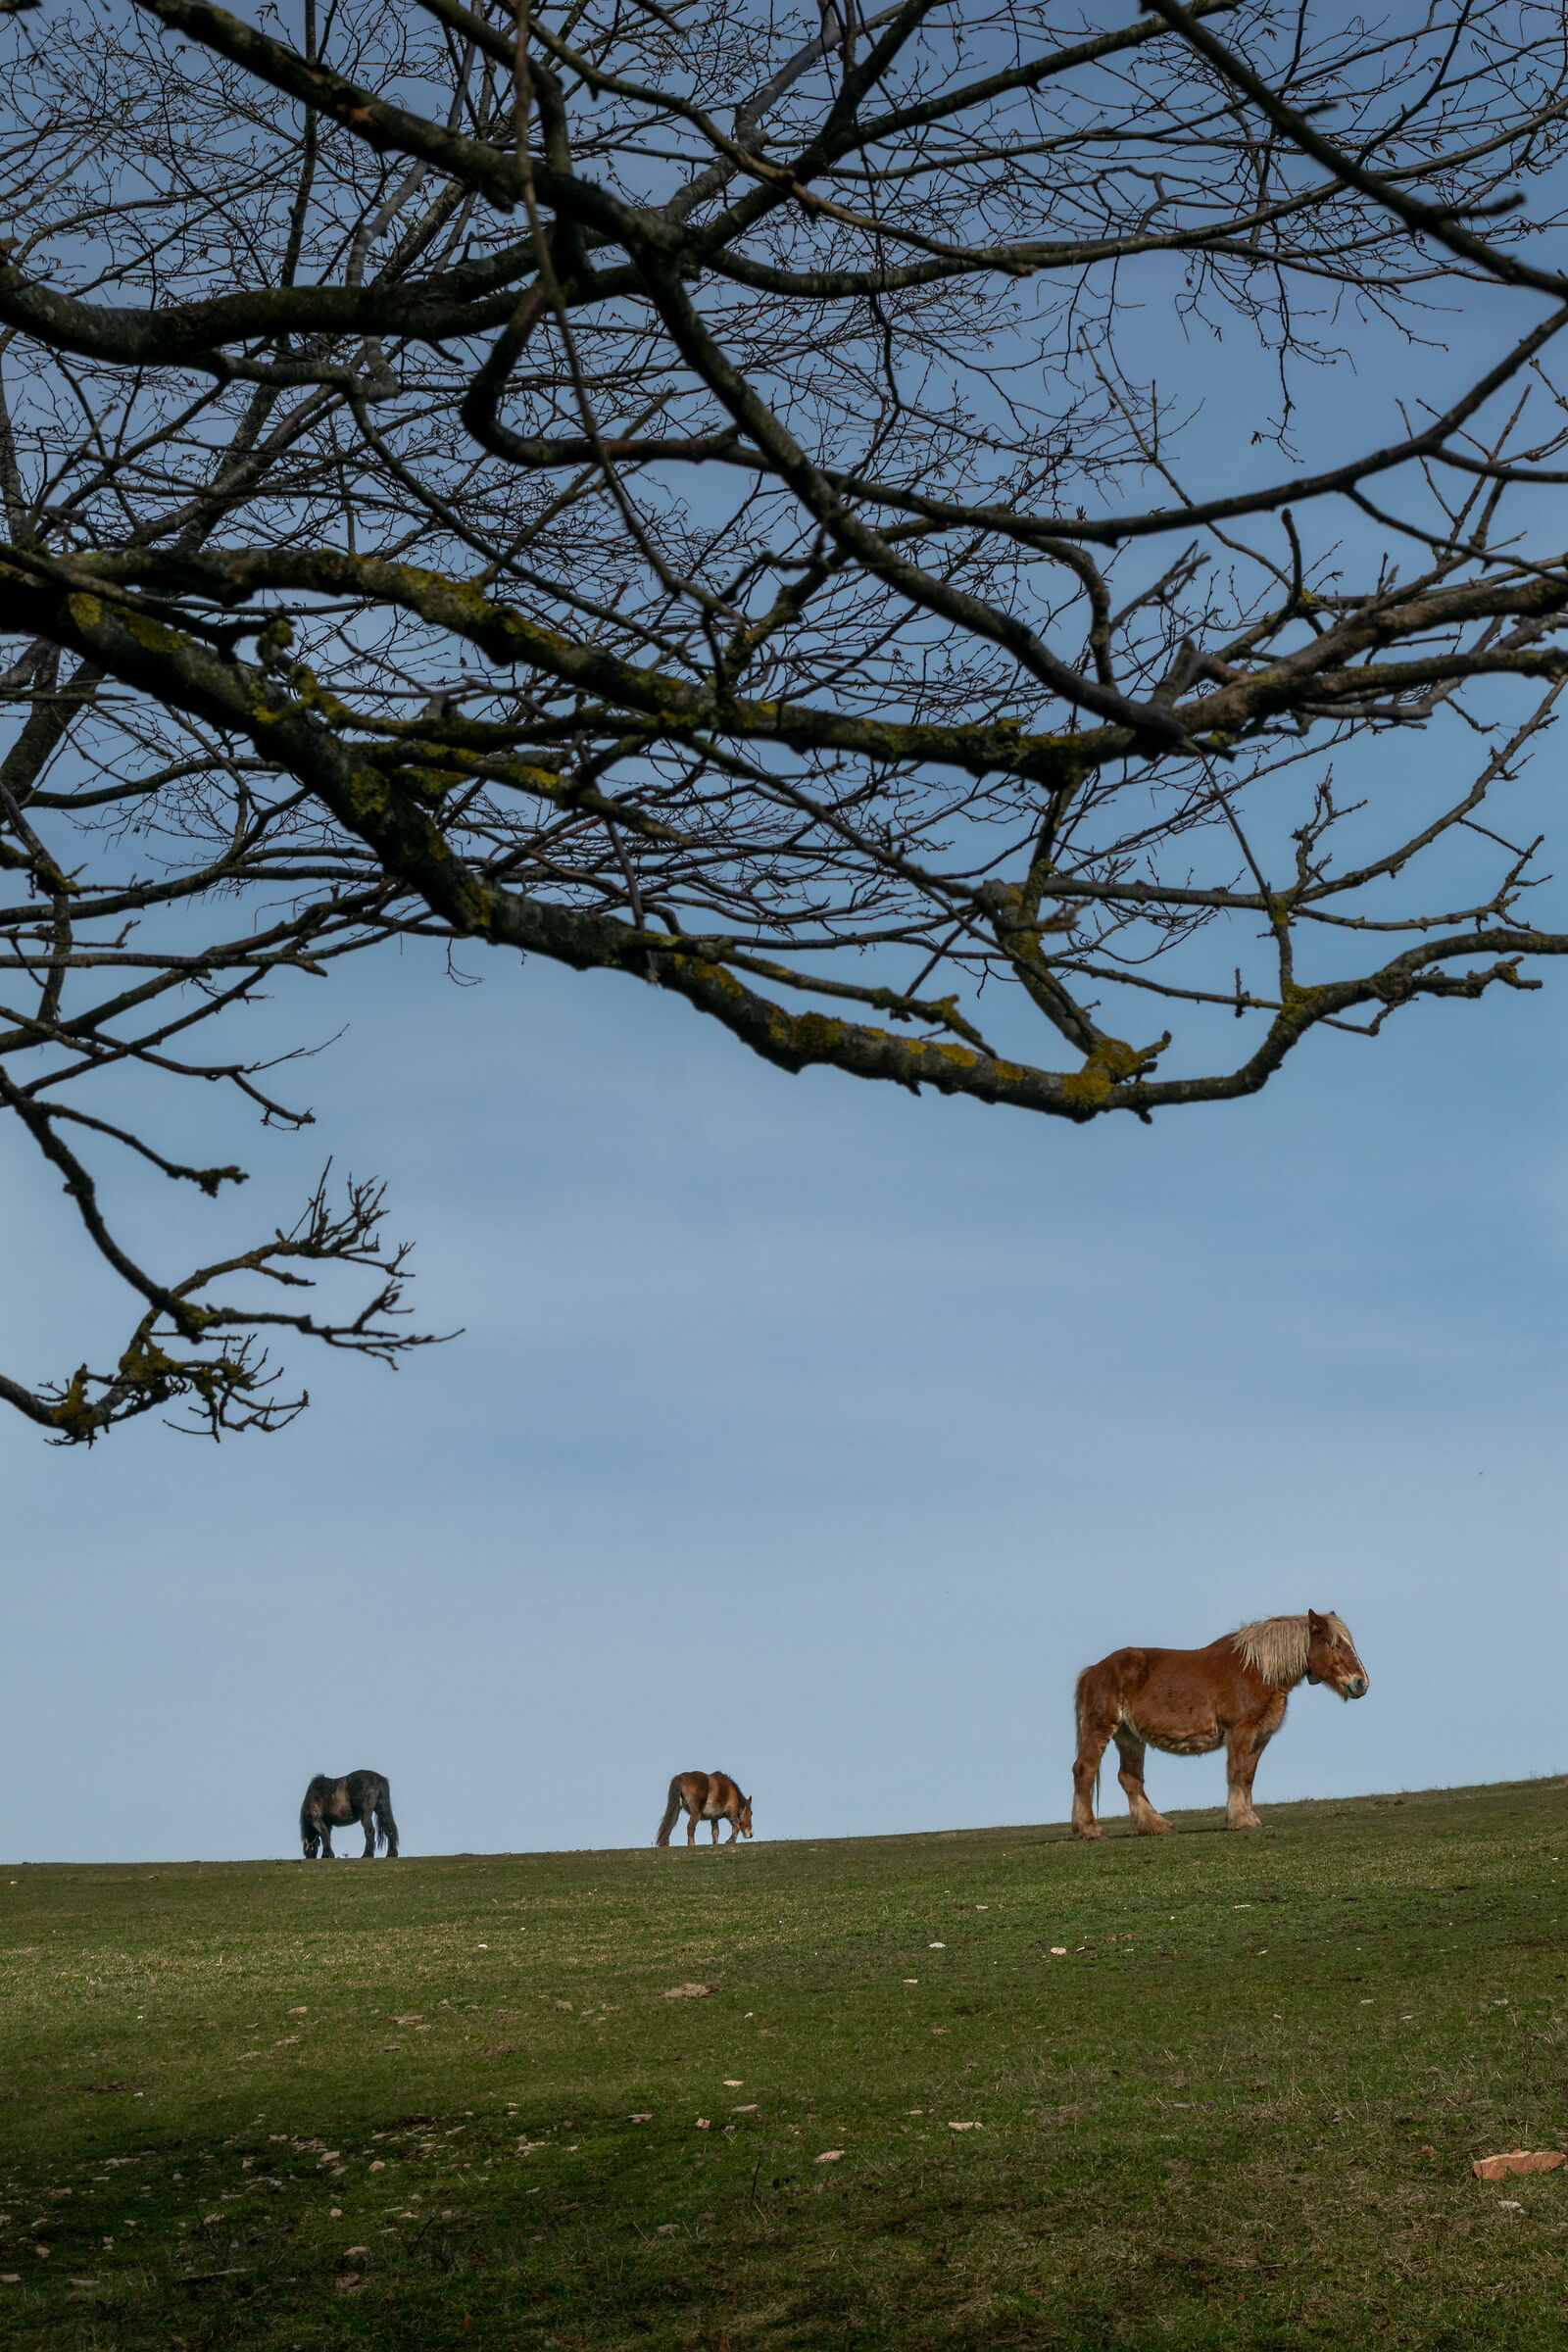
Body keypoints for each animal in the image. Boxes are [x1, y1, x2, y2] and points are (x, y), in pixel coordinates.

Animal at [1070, 1610, 1368, 1839]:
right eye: (1334, 1645)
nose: (1361, 1683)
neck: (1256, 1670)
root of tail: (1093, 1670)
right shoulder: (1240, 1731)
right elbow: (1236, 1774)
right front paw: (1241, 1820)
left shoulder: (1260, 1737)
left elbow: (1248, 1777)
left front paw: (1248, 1817)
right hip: (1101, 1729)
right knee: (1084, 1770)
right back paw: (1089, 1830)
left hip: (1129, 1736)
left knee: (1130, 1778)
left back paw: (1157, 1826)